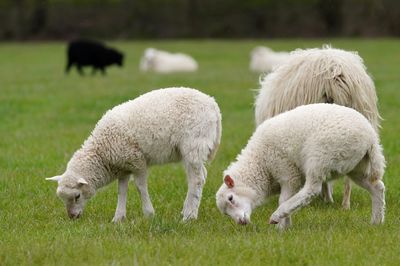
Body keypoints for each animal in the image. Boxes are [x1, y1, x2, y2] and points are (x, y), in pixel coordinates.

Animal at [47, 87, 222, 222]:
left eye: (77, 196)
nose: (72, 217)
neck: (102, 153)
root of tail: (212, 103)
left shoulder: (137, 161)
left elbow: (140, 187)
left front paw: (149, 214)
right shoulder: (123, 166)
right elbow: (121, 190)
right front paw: (118, 218)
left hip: (194, 144)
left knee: (196, 180)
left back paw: (189, 216)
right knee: (199, 177)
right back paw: (187, 211)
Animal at [217, 104, 386, 231]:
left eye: (231, 198)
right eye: (225, 213)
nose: (241, 222)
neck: (261, 165)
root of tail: (371, 137)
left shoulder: (288, 173)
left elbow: (283, 199)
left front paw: (281, 227)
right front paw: (286, 226)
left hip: (320, 156)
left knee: (312, 190)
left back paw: (276, 215)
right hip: (355, 166)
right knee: (377, 187)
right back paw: (376, 221)